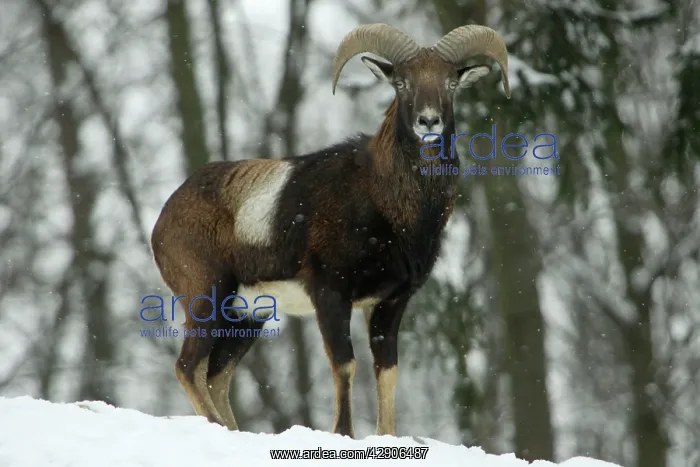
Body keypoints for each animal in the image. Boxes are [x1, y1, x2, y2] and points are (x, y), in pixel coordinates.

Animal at [150, 22, 510, 438]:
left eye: (451, 83)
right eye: (401, 83)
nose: (429, 122)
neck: (390, 207)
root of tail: (163, 220)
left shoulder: (389, 304)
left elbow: (386, 372)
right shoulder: (331, 294)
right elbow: (345, 364)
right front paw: (344, 433)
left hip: (247, 317)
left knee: (215, 376)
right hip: (207, 299)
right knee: (188, 367)